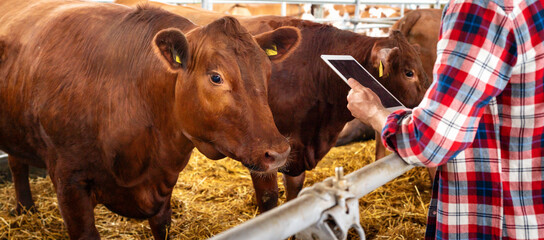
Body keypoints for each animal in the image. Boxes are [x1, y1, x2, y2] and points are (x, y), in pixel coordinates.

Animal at [0, 0, 302, 238]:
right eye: (216, 77)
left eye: (267, 71)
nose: (278, 152)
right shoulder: (69, 183)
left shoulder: (163, 181)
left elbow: (161, 225)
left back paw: (25, 208)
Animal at [117, 1, 432, 212]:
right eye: (408, 72)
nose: (427, 103)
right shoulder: (264, 152)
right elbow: (269, 201)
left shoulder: (296, 152)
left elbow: (294, 195)